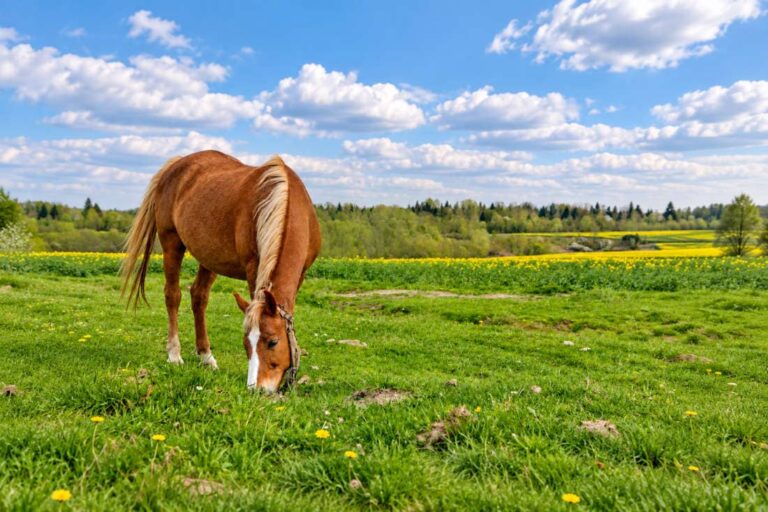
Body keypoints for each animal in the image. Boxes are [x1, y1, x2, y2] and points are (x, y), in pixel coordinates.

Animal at [119, 150, 321, 392]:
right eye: (246, 342)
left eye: (273, 341)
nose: (257, 389)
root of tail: (176, 165)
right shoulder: (254, 268)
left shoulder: (301, 273)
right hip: (171, 244)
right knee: (172, 295)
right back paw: (174, 354)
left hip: (208, 258)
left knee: (198, 297)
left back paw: (206, 356)